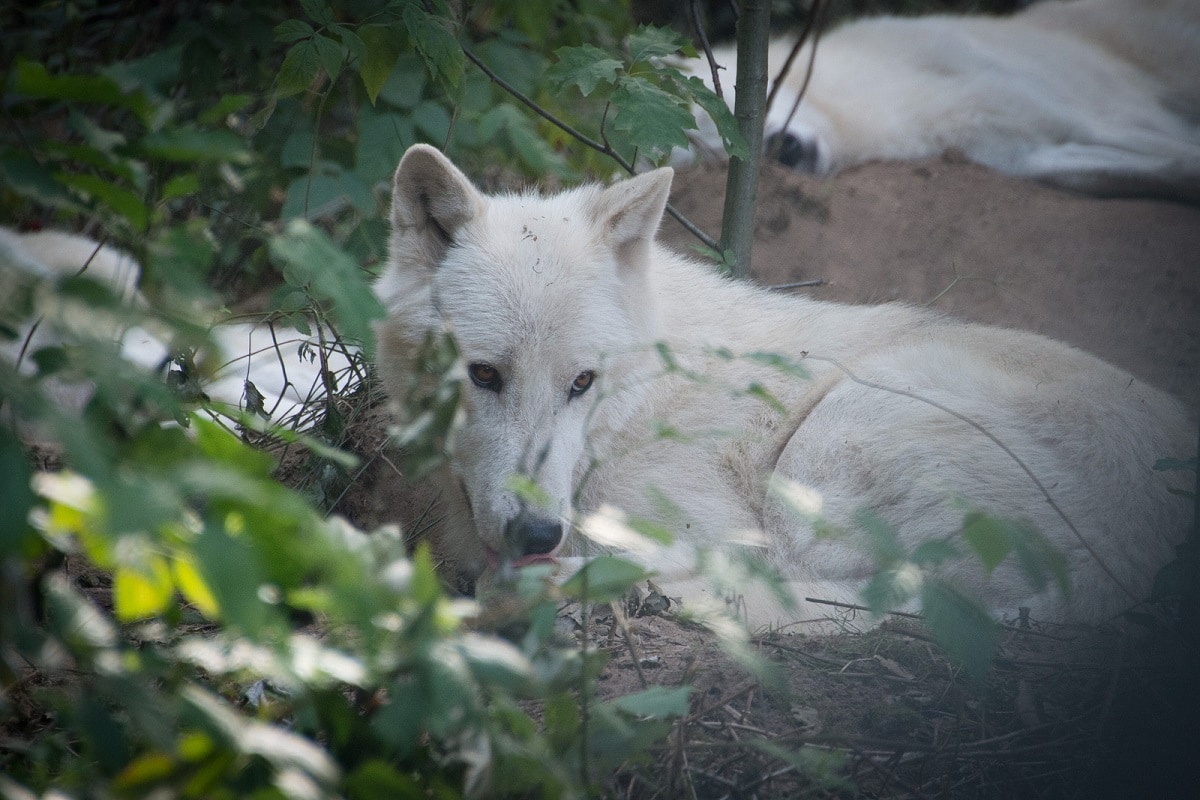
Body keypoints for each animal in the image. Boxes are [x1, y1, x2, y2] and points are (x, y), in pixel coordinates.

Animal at [372, 143, 1190, 628]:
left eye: (581, 381)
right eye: (483, 374)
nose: (540, 534)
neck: (635, 410)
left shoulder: (708, 523)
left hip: (835, 444)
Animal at [686, 0, 1200, 201]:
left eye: (724, 115)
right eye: (704, 153)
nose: (782, 149)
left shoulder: (1103, 117)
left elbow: (1180, 155)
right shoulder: (1032, 157)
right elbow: (1168, 169)